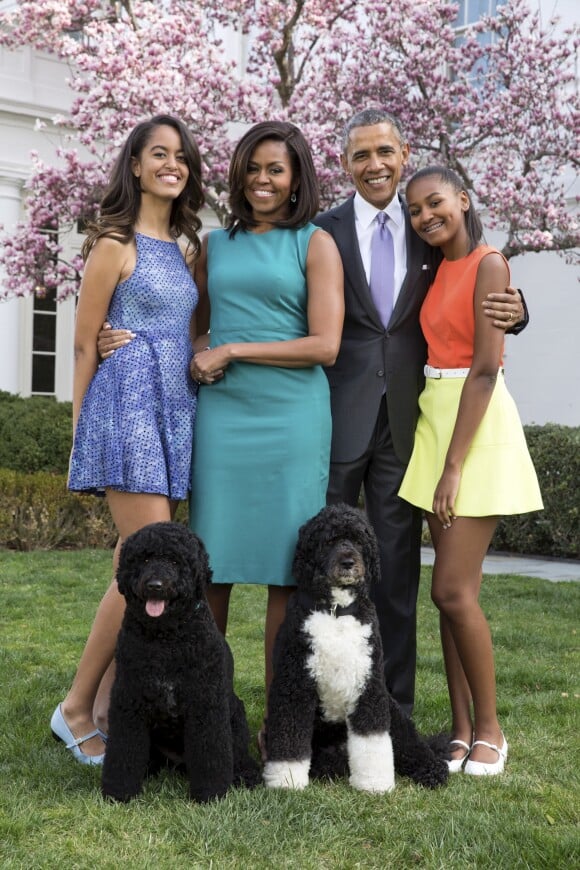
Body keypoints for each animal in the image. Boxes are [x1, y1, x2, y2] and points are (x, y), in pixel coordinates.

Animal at [102, 520, 260, 808]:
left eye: (175, 561)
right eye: (144, 558)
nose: (155, 585)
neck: (166, 640)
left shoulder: (205, 704)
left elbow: (211, 755)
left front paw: (210, 794)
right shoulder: (129, 701)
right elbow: (123, 751)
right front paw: (119, 791)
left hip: (235, 713)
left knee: (239, 754)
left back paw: (246, 774)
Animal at [262, 504, 448, 796]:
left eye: (360, 541)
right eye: (329, 541)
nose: (348, 562)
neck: (337, 611)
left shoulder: (369, 686)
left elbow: (372, 740)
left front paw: (374, 783)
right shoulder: (294, 685)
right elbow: (289, 739)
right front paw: (286, 781)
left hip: (394, 713)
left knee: (413, 746)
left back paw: (433, 769)